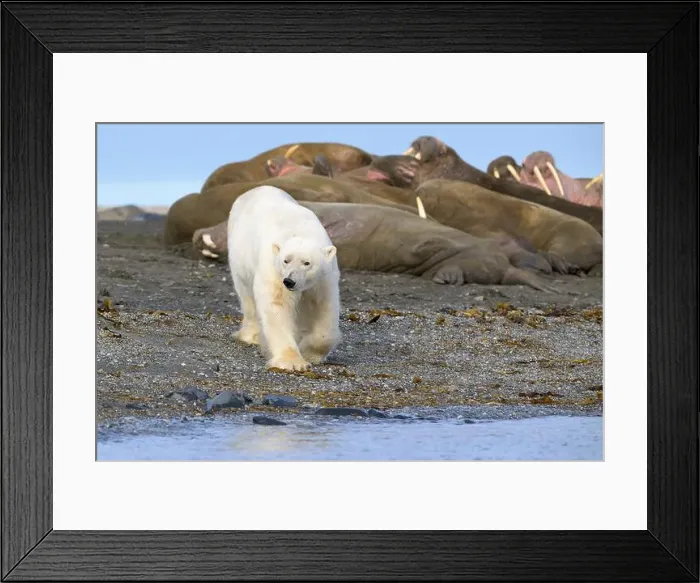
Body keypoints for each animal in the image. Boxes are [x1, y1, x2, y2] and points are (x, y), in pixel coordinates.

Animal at [226, 185, 341, 372]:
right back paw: (252, 335)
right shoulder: (273, 267)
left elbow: (324, 307)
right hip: (239, 258)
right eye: (286, 260)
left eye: (307, 263)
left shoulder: (323, 279)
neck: (299, 229)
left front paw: (309, 352)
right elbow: (277, 304)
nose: (290, 281)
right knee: (247, 297)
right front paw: (292, 362)